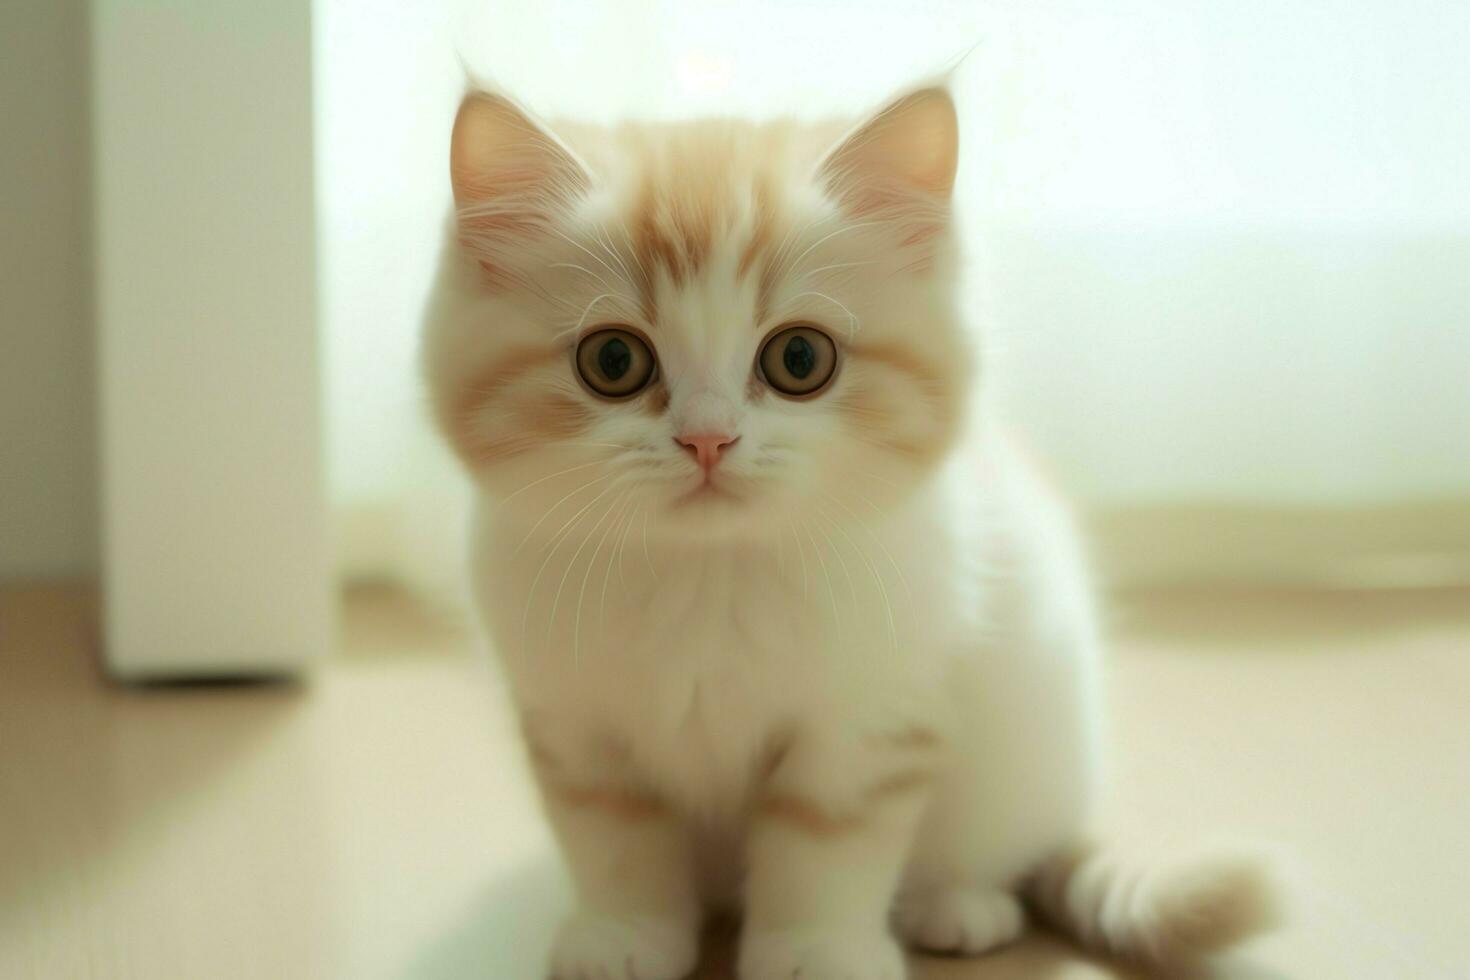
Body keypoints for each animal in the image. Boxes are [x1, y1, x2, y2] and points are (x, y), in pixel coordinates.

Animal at [420, 84, 1281, 980]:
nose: (708, 440)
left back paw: (959, 904)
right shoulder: (572, 720)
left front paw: (814, 952)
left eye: (800, 358)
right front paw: (625, 935)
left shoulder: (876, 718)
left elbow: (825, 846)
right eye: (613, 362)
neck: (708, 576)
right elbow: (612, 836)